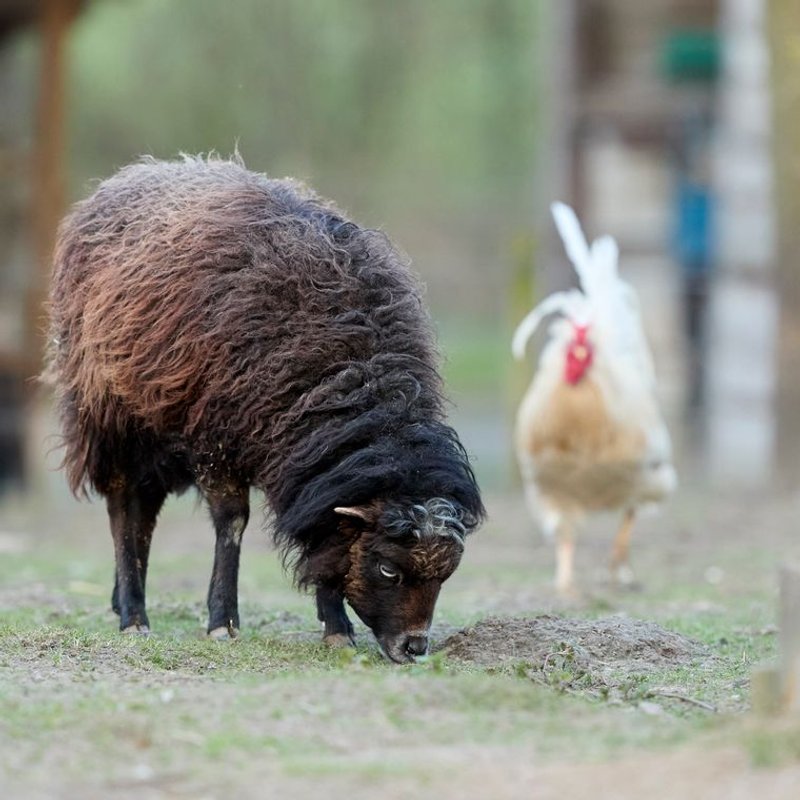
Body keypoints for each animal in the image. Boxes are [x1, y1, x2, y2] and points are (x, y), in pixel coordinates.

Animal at [46, 155, 484, 663]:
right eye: (388, 569)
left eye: (447, 574)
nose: (414, 648)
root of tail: (138, 172)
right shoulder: (217, 437)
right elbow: (233, 524)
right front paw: (222, 623)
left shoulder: (315, 472)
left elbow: (326, 542)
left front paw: (336, 628)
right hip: (111, 419)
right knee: (123, 510)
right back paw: (134, 617)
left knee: (144, 514)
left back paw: (122, 600)